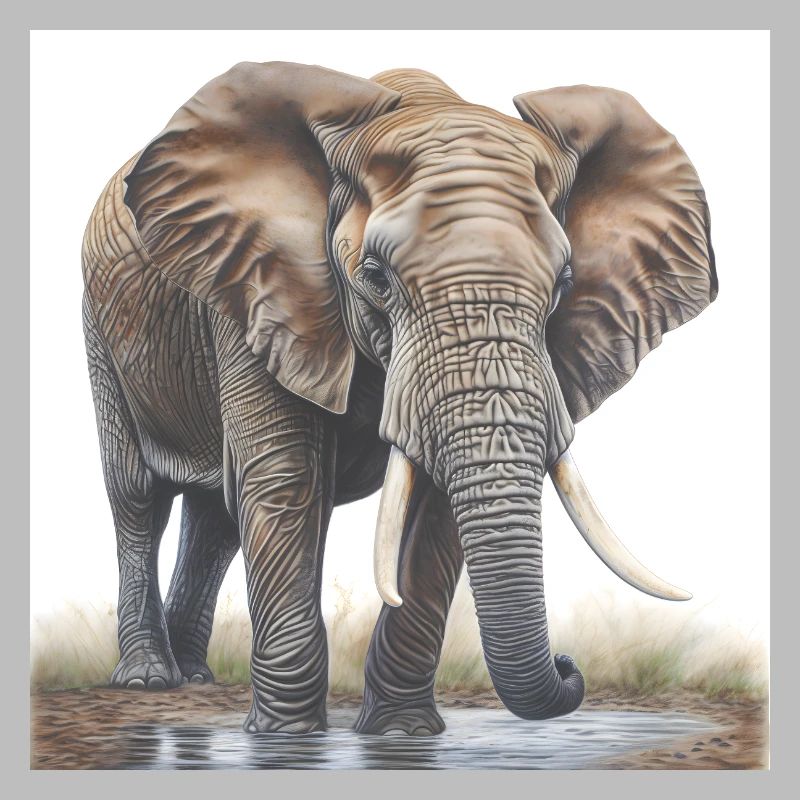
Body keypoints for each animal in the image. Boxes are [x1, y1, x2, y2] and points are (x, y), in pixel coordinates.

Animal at [82, 62, 717, 735]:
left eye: (564, 283)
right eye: (376, 278)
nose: (570, 667)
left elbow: (434, 504)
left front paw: (399, 732)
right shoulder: (257, 289)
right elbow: (287, 479)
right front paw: (286, 738)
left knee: (216, 520)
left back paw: (196, 677)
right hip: (102, 329)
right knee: (138, 498)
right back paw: (149, 679)